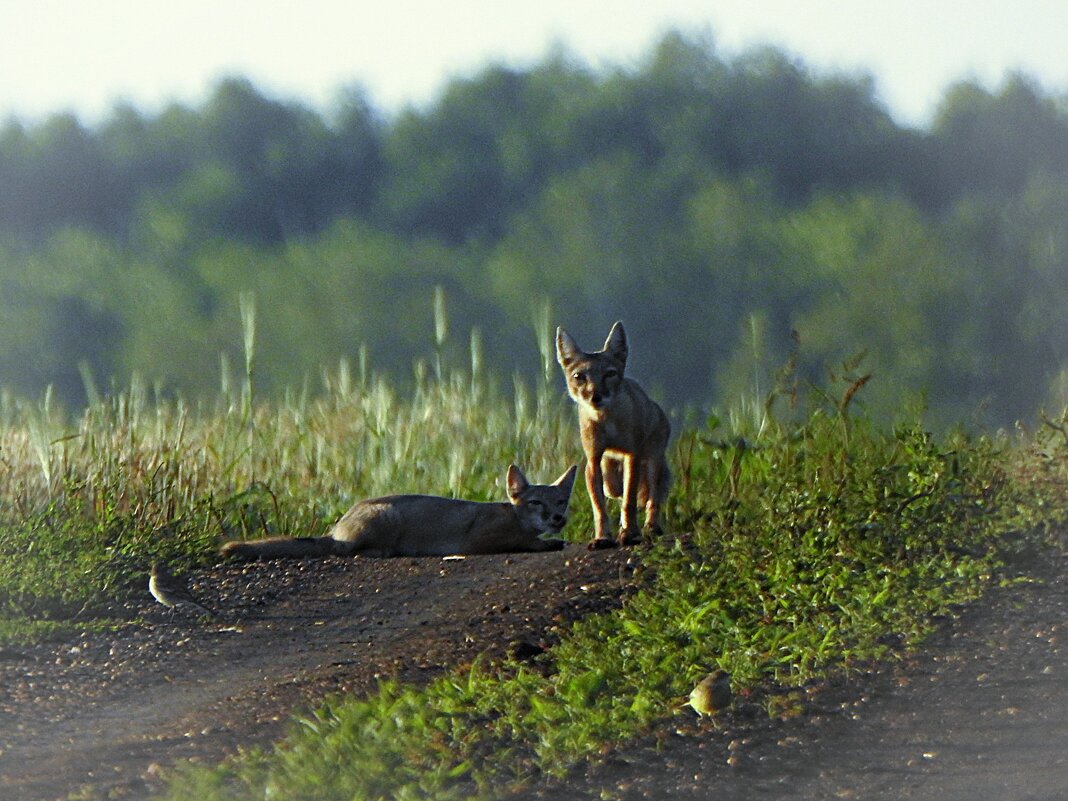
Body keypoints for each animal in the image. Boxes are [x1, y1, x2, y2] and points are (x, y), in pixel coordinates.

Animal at [215, 467, 576, 559]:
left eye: (561, 502)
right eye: (536, 503)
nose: (558, 519)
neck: (512, 516)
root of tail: (337, 529)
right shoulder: (478, 541)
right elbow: (524, 542)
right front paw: (547, 543)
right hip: (388, 517)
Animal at [559, 322, 666, 551]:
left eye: (609, 374)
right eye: (579, 377)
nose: (595, 396)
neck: (607, 422)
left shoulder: (632, 456)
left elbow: (630, 500)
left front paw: (629, 533)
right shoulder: (593, 460)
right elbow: (599, 507)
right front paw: (602, 537)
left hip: (653, 464)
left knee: (652, 499)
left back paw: (651, 528)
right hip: (608, 465)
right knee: (613, 488)